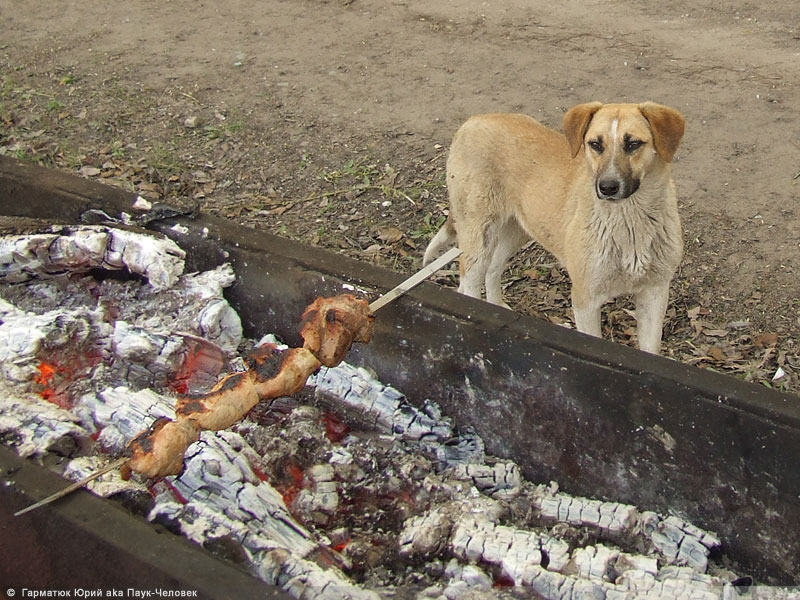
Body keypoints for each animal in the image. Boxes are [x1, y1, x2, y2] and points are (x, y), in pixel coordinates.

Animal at [424, 103, 688, 354]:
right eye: (595, 144)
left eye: (633, 144)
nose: (607, 187)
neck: (630, 221)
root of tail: (473, 120)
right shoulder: (585, 300)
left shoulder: (654, 293)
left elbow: (650, 350)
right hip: (478, 236)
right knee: (468, 284)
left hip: (517, 230)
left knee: (492, 270)